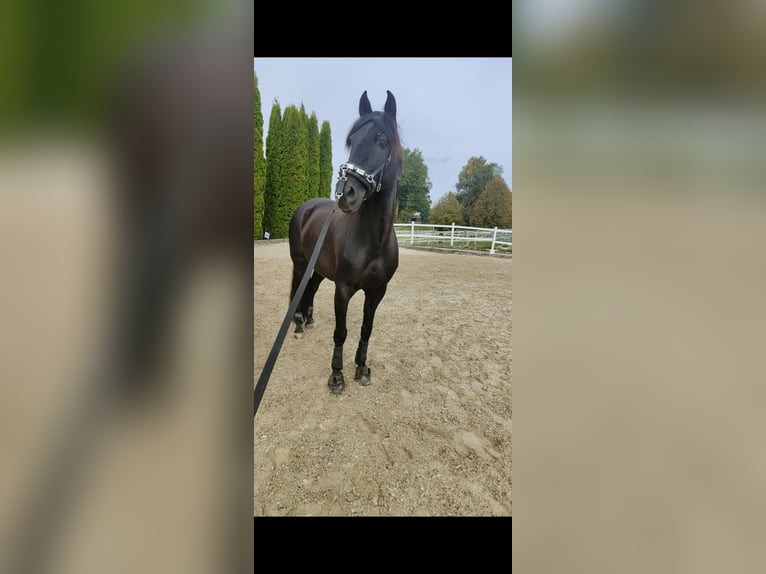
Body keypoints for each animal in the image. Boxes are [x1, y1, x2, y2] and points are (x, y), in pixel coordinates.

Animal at [288, 90, 403, 395]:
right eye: (352, 140)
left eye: (382, 141)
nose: (346, 193)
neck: (373, 241)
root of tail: (307, 207)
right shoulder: (343, 289)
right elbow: (341, 331)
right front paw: (337, 376)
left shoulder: (377, 292)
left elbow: (365, 329)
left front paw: (361, 368)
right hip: (301, 264)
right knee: (299, 289)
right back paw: (299, 324)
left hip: (319, 269)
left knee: (311, 289)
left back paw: (309, 318)